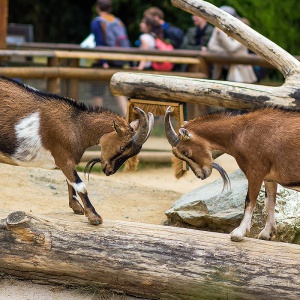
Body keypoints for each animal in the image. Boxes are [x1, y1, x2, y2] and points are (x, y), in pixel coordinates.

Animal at [0, 76, 154, 224]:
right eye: (122, 147)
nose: (109, 171)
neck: (76, 126)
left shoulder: (69, 160)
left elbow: (70, 182)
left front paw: (76, 207)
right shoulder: (62, 157)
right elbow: (80, 185)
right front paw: (94, 216)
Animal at [164, 105, 300, 241]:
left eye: (185, 152)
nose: (201, 175)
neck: (240, 132)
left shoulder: (255, 172)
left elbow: (249, 201)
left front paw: (238, 233)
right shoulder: (269, 178)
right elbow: (269, 202)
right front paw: (266, 233)